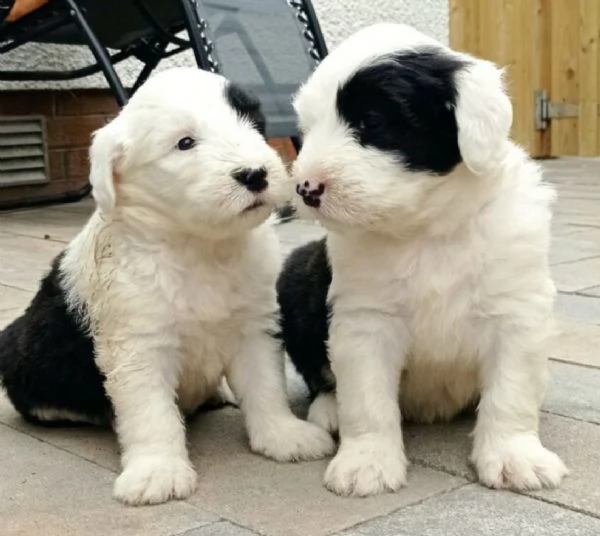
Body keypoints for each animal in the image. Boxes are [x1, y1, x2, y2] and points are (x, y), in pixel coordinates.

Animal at [0, 66, 336, 502]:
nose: (255, 175)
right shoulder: (138, 345)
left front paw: (284, 435)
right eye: (185, 143)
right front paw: (157, 470)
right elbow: (152, 414)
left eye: (254, 122)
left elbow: (266, 387)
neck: (200, 247)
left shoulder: (255, 327)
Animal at [276, 23, 568, 496]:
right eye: (304, 130)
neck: (428, 228)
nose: (306, 188)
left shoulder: (517, 310)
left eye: (371, 121)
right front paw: (367, 463)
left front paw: (514, 456)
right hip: (295, 278)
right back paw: (329, 410)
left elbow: (511, 392)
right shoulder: (366, 318)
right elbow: (367, 400)